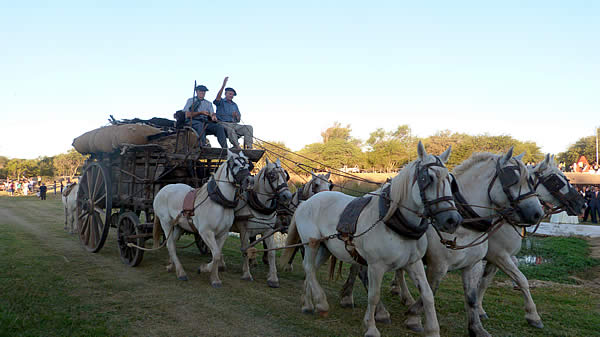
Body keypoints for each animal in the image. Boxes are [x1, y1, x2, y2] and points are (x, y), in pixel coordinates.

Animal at [152, 149, 253, 284]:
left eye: (247, 165)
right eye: (235, 165)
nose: (250, 181)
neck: (218, 203)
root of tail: (162, 190)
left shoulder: (223, 233)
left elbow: (217, 254)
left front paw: (211, 274)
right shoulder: (206, 232)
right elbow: (216, 254)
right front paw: (209, 273)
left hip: (178, 226)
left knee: (172, 243)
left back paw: (171, 265)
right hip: (166, 223)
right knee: (170, 245)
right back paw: (181, 272)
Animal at [230, 157, 292, 286]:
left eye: (286, 175)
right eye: (272, 175)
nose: (288, 196)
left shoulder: (268, 231)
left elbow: (271, 252)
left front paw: (273, 278)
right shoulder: (244, 231)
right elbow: (246, 250)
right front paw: (247, 274)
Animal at [280, 141, 460, 336]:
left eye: (450, 181)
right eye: (428, 178)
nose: (453, 220)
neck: (391, 221)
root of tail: (306, 202)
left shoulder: (414, 263)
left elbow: (427, 295)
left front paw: (432, 329)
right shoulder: (376, 266)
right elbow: (374, 296)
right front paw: (371, 327)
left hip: (325, 248)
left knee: (311, 270)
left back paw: (307, 303)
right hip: (311, 243)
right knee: (309, 267)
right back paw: (320, 302)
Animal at [476, 154, 584, 326]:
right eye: (555, 180)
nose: (581, 204)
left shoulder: (495, 258)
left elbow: (484, 282)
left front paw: (479, 309)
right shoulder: (499, 255)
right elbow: (521, 278)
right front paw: (533, 315)